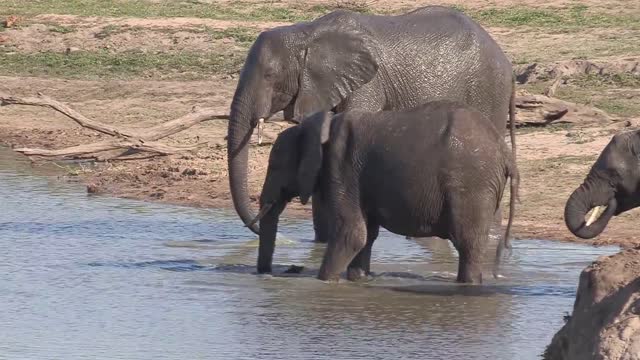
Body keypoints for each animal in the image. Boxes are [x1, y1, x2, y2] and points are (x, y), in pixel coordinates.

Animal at [228, 4, 516, 242]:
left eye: (269, 75)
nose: (258, 228)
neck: (307, 33)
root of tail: (508, 64)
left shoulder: (368, 85)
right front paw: (322, 245)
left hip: (489, 91)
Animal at [248, 101, 516, 284]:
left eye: (275, 166)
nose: (265, 273)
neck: (321, 125)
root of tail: (505, 153)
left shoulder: (341, 168)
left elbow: (351, 234)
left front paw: (324, 282)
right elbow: (366, 234)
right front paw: (359, 279)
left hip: (472, 186)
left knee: (467, 241)